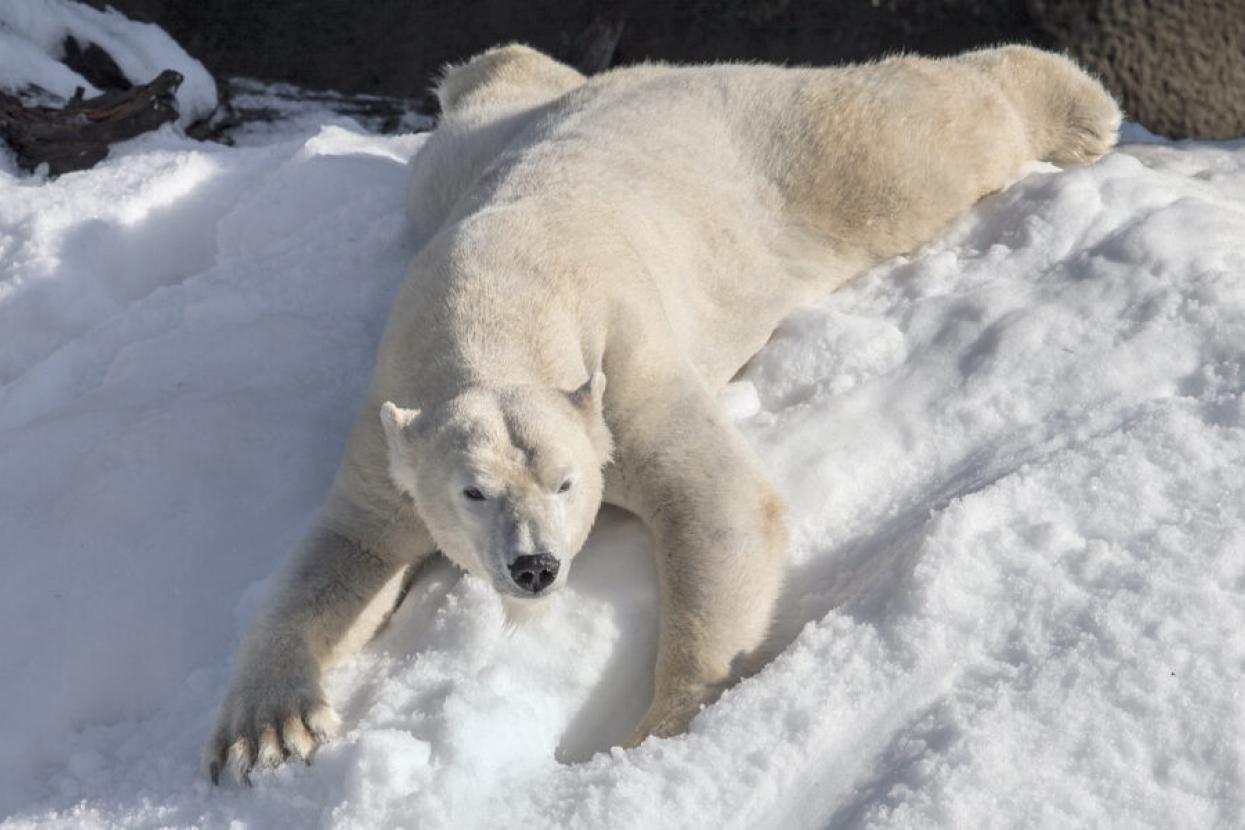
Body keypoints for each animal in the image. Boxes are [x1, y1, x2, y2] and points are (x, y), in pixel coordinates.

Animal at [204, 43, 1119, 783]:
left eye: (567, 483)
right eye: (472, 492)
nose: (533, 568)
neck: (489, 307)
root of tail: (658, 72)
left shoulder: (622, 366)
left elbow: (713, 500)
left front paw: (661, 726)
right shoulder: (388, 419)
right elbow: (346, 553)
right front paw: (270, 731)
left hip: (780, 154)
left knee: (909, 141)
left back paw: (1078, 109)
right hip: (469, 154)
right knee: (488, 89)